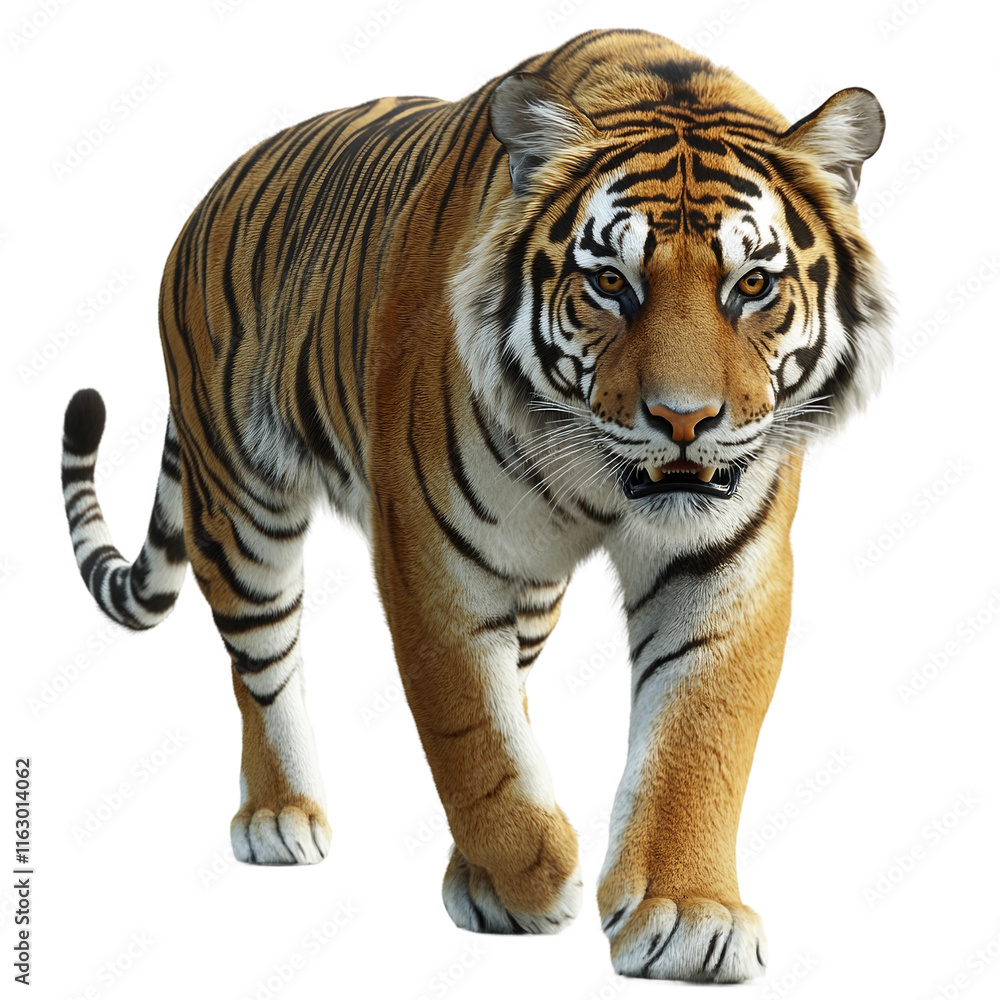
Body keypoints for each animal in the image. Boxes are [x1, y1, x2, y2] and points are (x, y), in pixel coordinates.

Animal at [59, 27, 890, 983]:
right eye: (611, 283)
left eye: (752, 285)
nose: (685, 420)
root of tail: (213, 191)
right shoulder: (430, 551)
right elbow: (467, 731)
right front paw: (531, 873)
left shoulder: (723, 556)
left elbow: (698, 735)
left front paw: (687, 915)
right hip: (242, 507)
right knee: (259, 667)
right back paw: (279, 814)